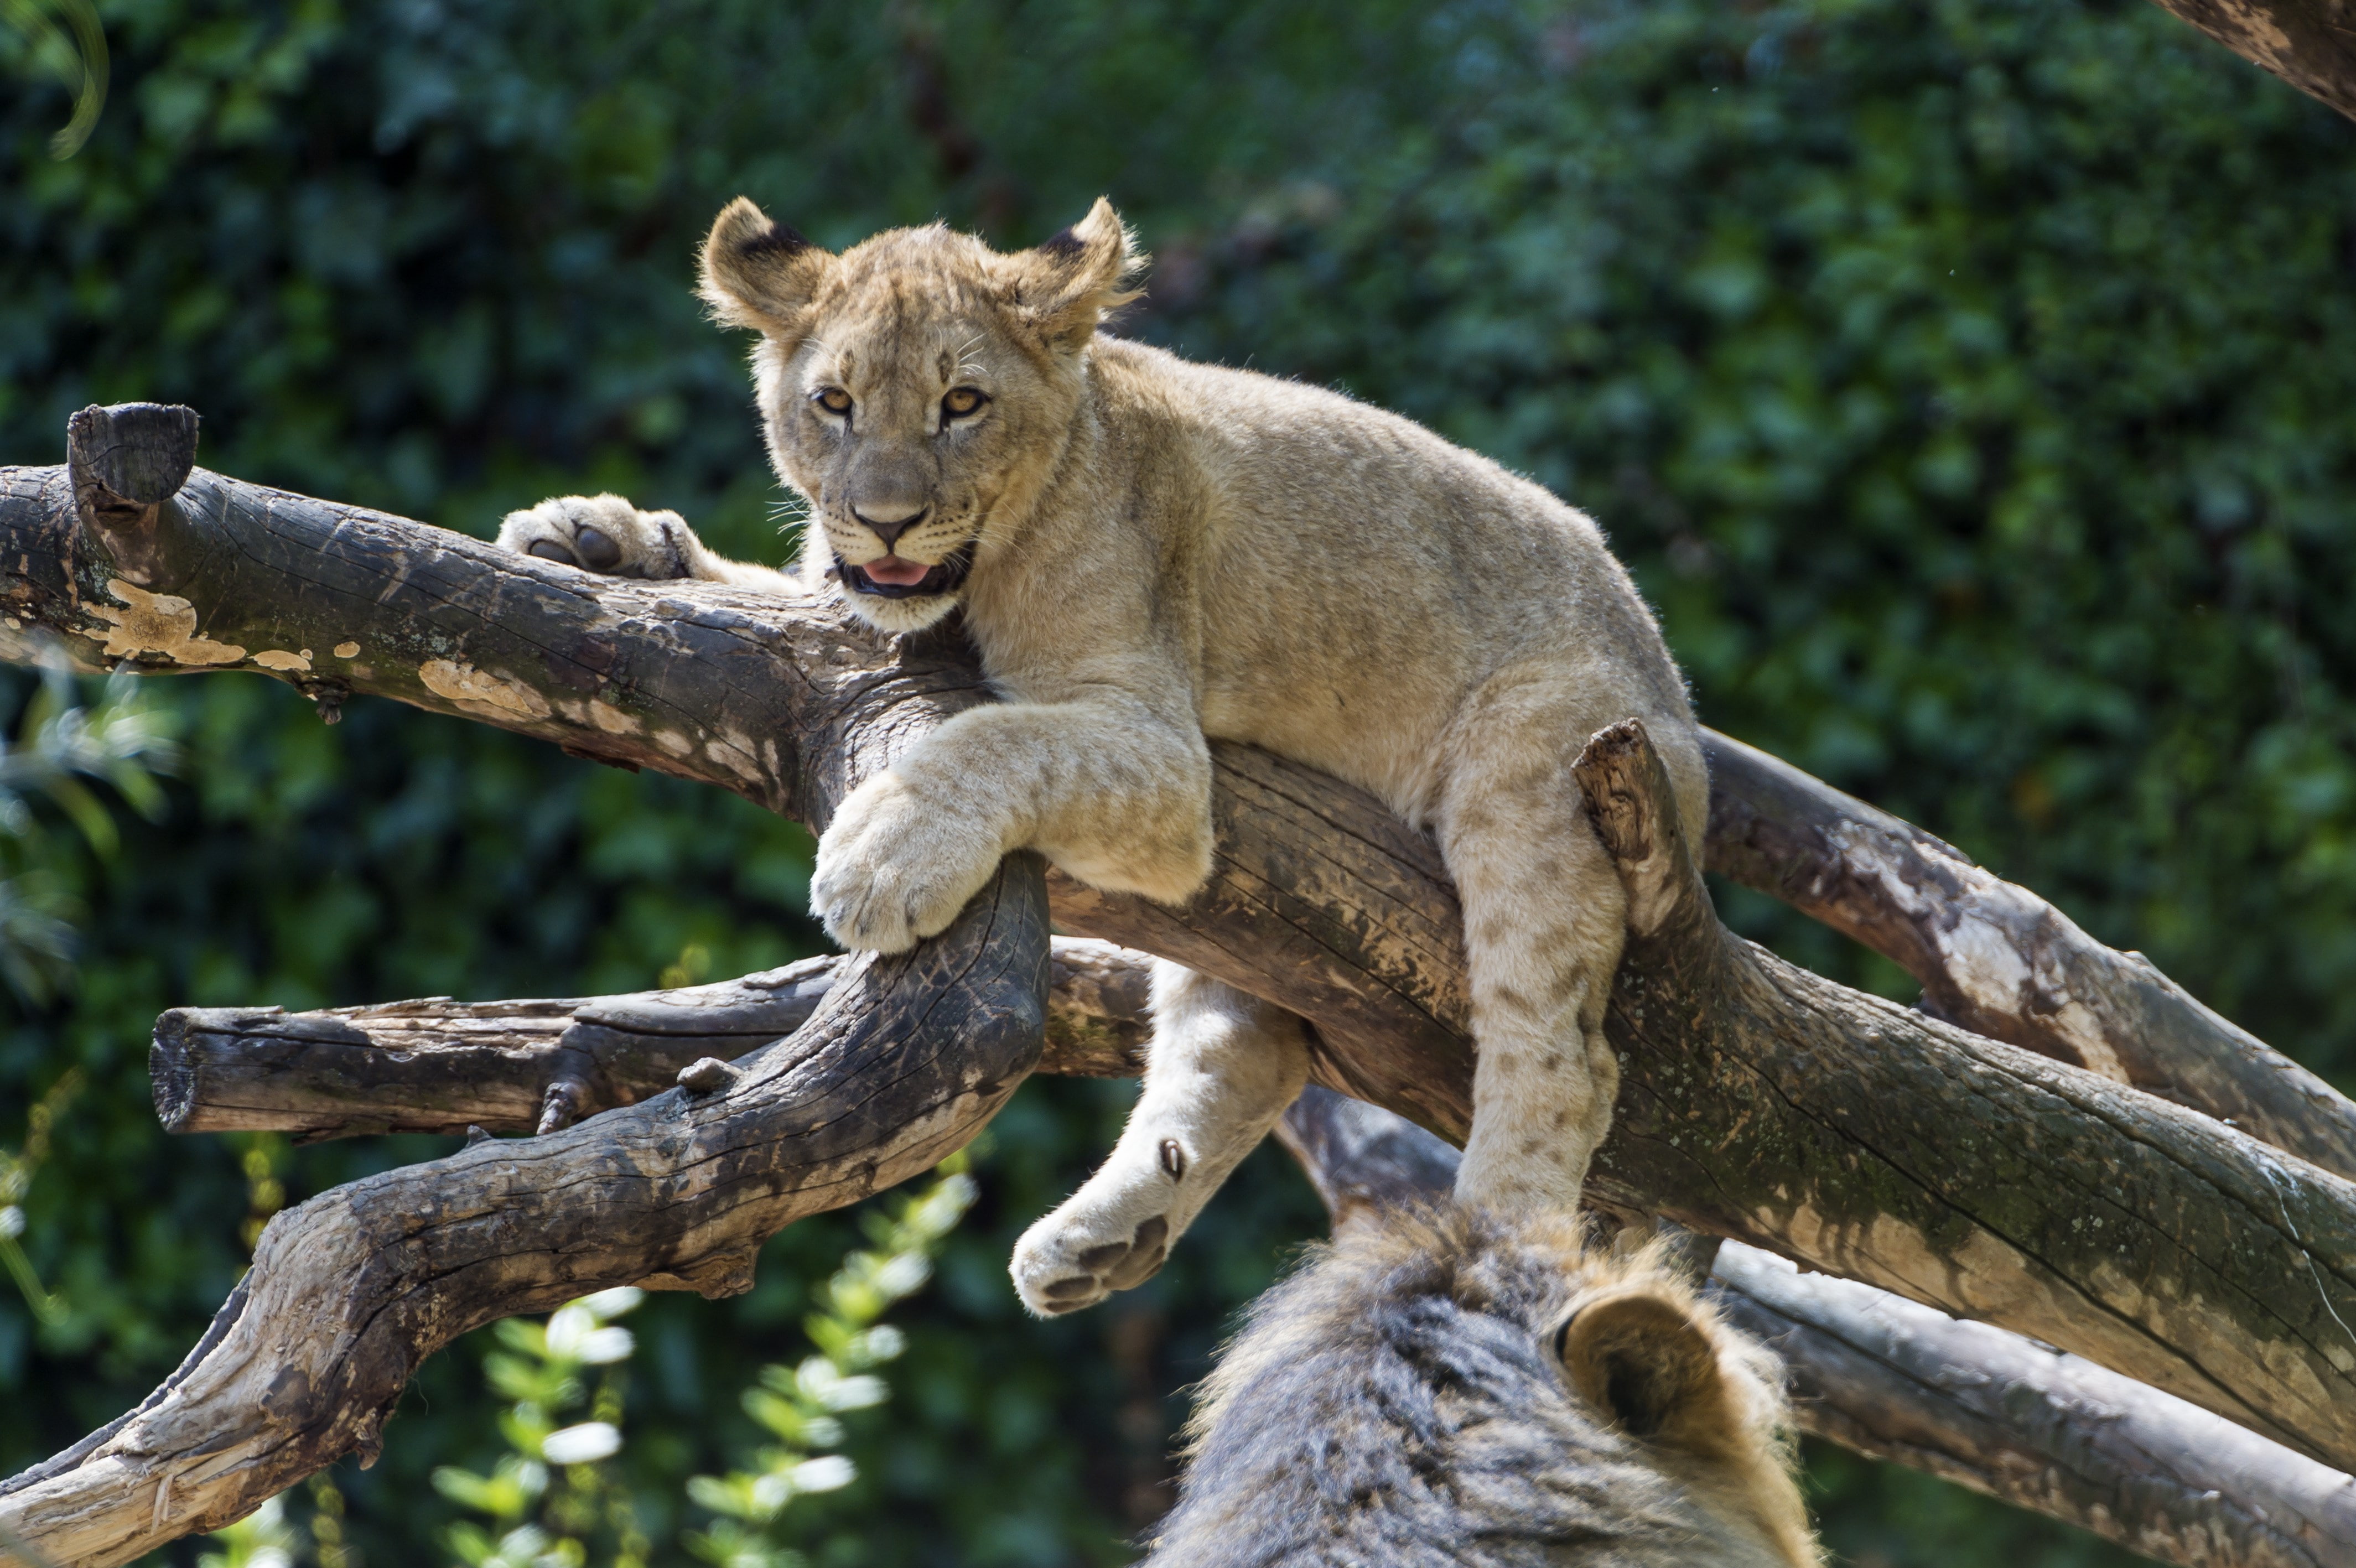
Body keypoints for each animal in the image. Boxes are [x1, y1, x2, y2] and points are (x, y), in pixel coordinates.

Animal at [497, 197, 1710, 1316]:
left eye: (962, 404)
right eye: (832, 404)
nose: (885, 522)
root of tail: (1667, 680)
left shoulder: (1161, 749)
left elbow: (999, 733)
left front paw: (881, 853)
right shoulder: (842, 602)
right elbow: (760, 584)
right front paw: (597, 535)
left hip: (1540, 770)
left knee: (1565, 1056)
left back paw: (1490, 1247)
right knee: (1243, 1045)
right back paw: (1099, 1243)